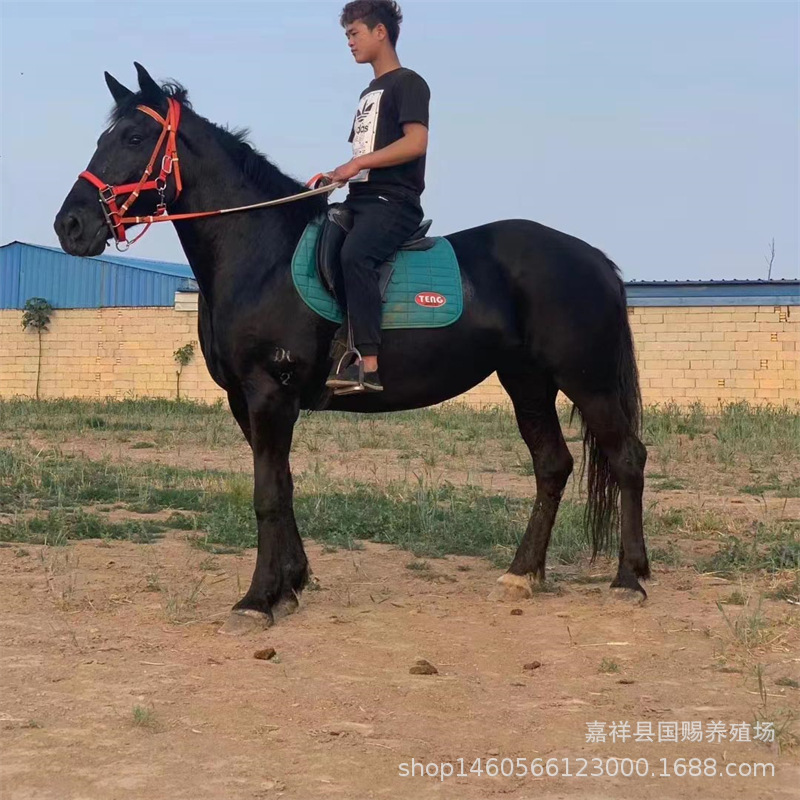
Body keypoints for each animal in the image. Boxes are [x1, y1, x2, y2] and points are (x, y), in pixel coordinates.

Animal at [54, 64, 649, 634]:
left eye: (134, 136)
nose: (70, 225)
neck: (262, 254)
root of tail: (594, 258)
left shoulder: (268, 393)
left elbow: (266, 495)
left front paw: (256, 601)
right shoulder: (245, 401)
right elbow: (282, 486)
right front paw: (290, 584)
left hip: (587, 380)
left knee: (627, 458)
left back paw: (629, 578)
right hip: (527, 380)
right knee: (552, 465)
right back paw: (523, 574)